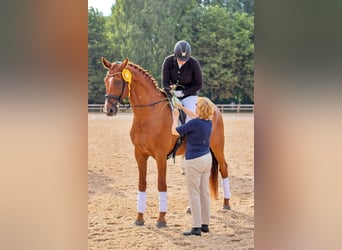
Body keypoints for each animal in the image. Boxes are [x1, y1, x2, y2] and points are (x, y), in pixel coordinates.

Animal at [101, 57, 230, 228]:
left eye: (117, 81)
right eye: (105, 81)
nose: (108, 110)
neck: (149, 115)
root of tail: (213, 107)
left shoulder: (161, 157)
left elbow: (161, 185)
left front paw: (161, 219)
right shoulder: (139, 154)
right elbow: (142, 184)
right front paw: (139, 218)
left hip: (217, 147)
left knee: (224, 169)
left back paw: (227, 204)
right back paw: (191, 207)